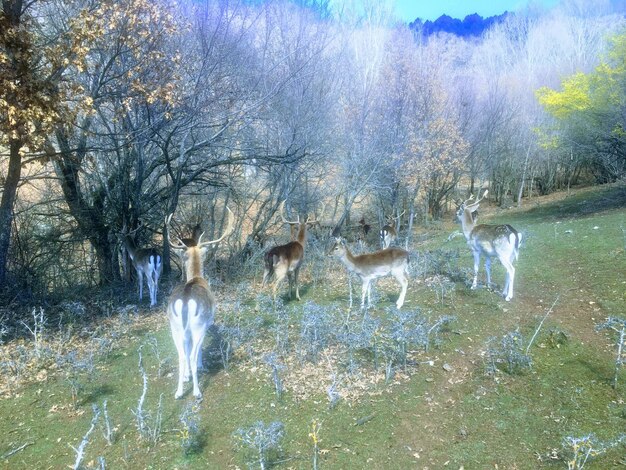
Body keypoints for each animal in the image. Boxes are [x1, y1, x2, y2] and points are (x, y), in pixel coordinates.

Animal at [166, 207, 234, 398]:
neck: (197, 278)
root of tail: (185, 301)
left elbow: (186, 351)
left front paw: (187, 376)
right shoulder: (207, 323)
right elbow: (198, 351)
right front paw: (199, 368)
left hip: (175, 328)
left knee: (182, 355)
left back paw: (179, 392)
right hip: (198, 326)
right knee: (192, 354)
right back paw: (196, 391)